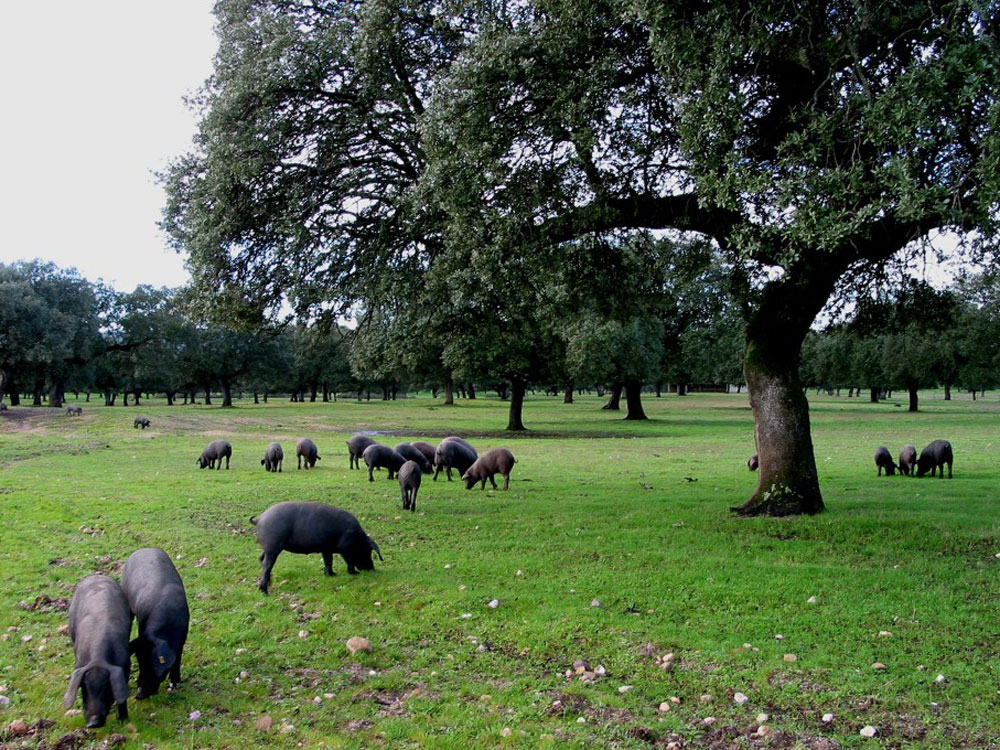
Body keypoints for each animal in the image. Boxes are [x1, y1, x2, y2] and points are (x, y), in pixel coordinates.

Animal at [64, 576, 132, 728]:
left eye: (107, 690)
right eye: (84, 688)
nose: (93, 723)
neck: (98, 659)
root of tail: (96, 576)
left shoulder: (125, 664)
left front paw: (122, 719)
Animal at [119, 548, 189, 704]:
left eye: (152, 666)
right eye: (139, 662)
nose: (139, 695)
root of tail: (142, 549)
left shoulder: (182, 638)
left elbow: (177, 659)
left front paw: (173, 685)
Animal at [250, 502, 382, 596]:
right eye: (368, 551)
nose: (372, 568)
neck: (357, 538)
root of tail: (260, 518)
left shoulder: (326, 549)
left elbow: (328, 561)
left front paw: (332, 575)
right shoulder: (345, 548)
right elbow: (349, 561)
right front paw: (354, 573)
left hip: (268, 548)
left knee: (261, 559)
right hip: (273, 547)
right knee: (266, 566)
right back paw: (265, 592)